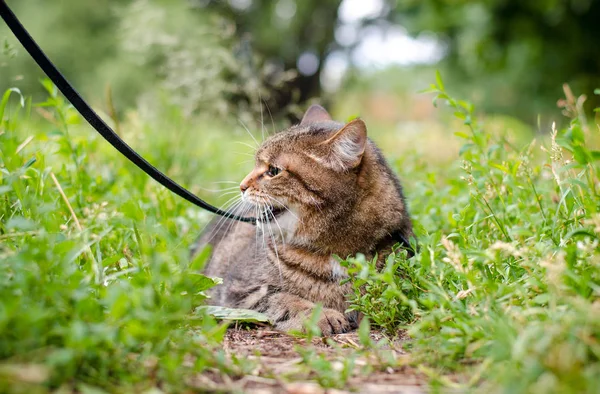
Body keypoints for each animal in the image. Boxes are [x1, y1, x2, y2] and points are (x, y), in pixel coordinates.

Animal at [192, 105, 412, 336]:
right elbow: (284, 299)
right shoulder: (240, 290)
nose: (241, 186)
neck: (335, 250)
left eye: (273, 171)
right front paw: (322, 315)